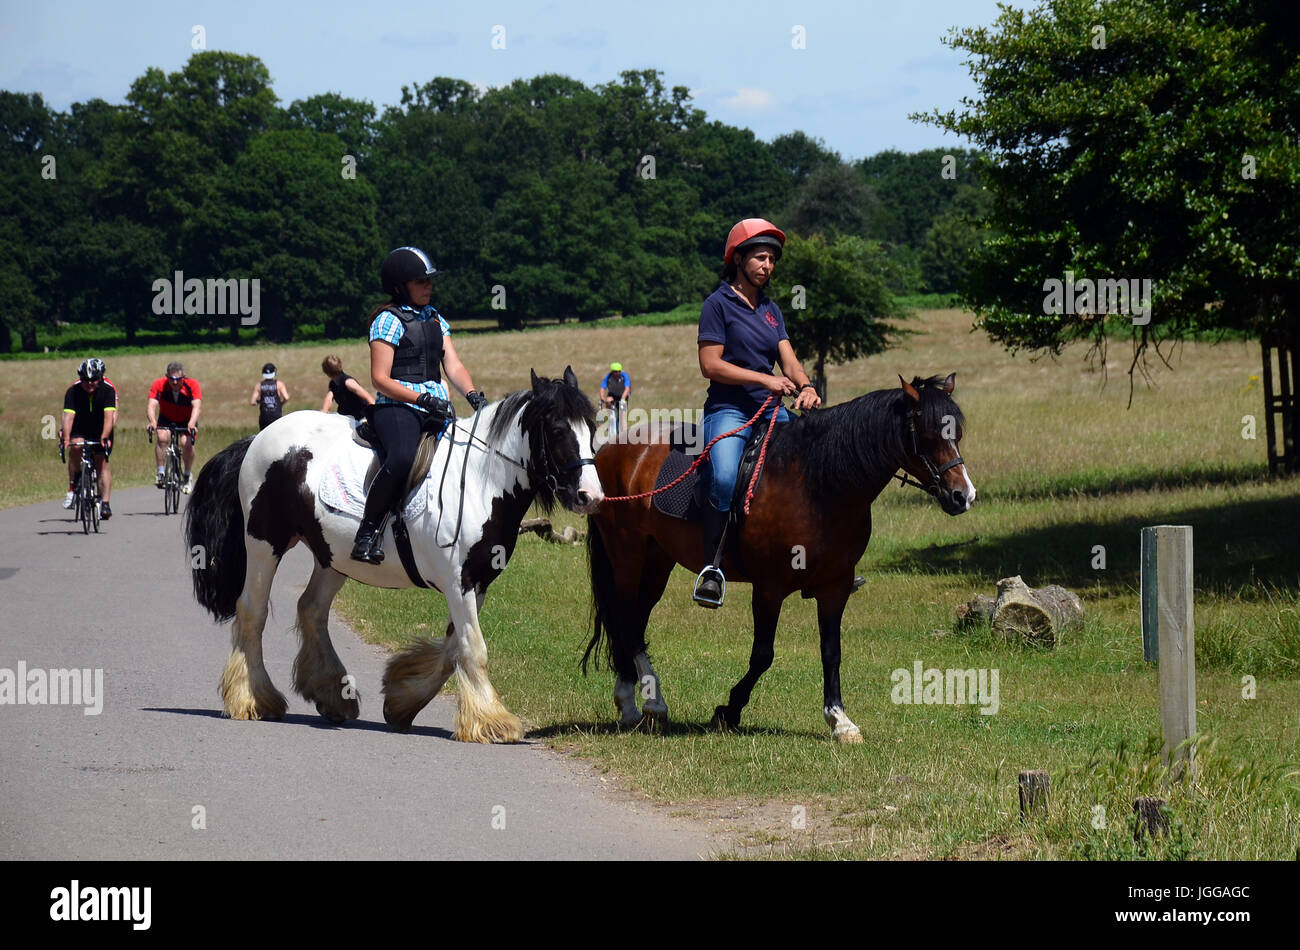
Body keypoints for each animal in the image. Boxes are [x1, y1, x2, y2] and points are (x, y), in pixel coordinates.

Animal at [185, 366, 600, 743]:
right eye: (559, 430)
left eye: (593, 429)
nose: (590, 497)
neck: (481, 481)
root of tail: (258, 438)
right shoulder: (459, 582)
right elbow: (472, 648)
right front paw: (492, 721)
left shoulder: (477, 583)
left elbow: (453, 648)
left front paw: (403, 700)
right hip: (264, 544)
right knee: (252, 612)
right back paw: (253, 699)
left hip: (332, 555)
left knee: (311, 609)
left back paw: (332, 694)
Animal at [582, 371, 977, 743]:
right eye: (928, 434)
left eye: (957, 434)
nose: (964, 496)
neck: (817, 483)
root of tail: (611, 449)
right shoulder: (769, 587)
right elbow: (763, 654)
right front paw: (728, 711)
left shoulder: (835, 586)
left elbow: (831, 651)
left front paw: (840, 720)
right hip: (627, 556)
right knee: (624, 619)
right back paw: (633, 705)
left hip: (657, 561)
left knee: (635, 621)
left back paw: (649, 703)